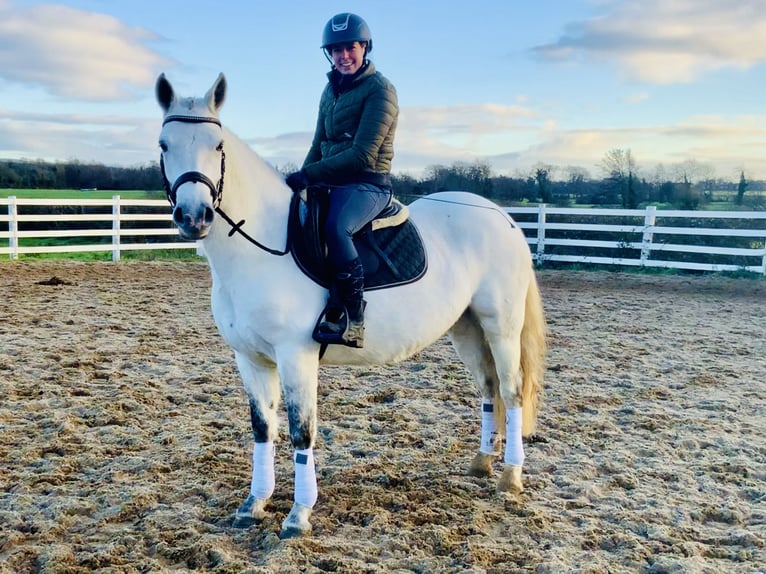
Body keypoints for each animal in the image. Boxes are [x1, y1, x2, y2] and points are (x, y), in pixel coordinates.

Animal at [154, 73, 544, 540]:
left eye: (218, 146)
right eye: (164, 144)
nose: (194, 217)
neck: (262, 247)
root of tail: (504, 219)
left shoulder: (296, 356)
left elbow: (302, 432)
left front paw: (298, 515)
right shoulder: (250, 358)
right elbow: (263, 428)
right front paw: (254, 504)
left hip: (501, 326)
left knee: (511, 390)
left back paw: (510, 476)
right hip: (466, 329)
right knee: (488, 388)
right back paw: (483, 462)